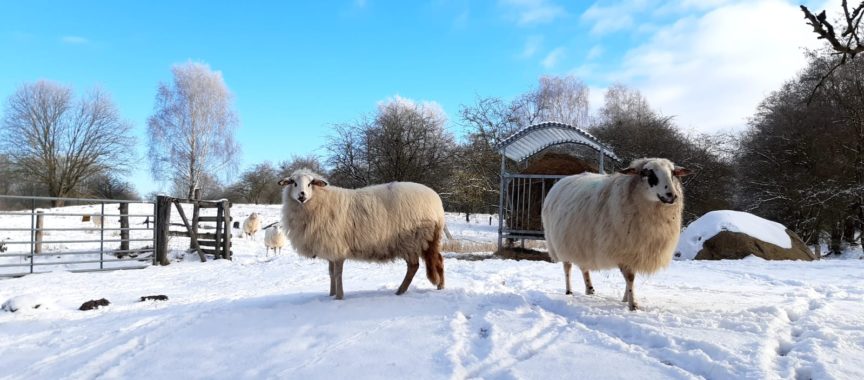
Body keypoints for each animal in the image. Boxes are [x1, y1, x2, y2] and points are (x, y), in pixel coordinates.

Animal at [280, 169, 446, 300]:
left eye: (310, 184)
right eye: (293, 183)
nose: (302, 195)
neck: (319, 202)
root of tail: (437, 204)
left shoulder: (337, 246)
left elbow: (338, 273)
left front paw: (338, 297)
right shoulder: (330, 248)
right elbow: (331, 273)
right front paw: (331, 294)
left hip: (412, 239)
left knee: (414, 266)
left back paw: (400, 291)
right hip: (426, 239)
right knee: (437, 260)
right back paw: (440, 287)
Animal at [544, 159, 692, 310]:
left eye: (673, 173)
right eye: (646, 173)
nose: (672, 195)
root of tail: (562, 181)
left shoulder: (635, 251)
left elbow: (630, 278)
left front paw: (625, 299)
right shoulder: (624, 250)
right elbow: (630, 278)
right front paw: (633, 305)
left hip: (581, 243)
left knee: (584, 267)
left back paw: (590, 289)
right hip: (559, 243)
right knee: (567, 268)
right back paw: (569, 291)